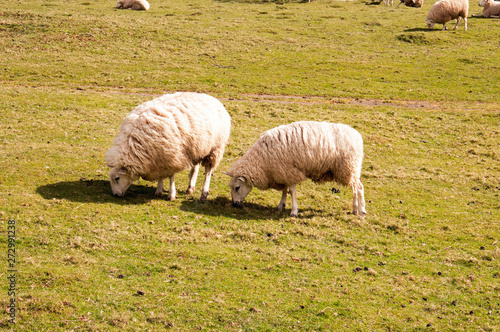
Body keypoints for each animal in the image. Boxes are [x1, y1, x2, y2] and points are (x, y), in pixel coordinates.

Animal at [225, 120, 366, 217]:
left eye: (237, 187)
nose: (234, 204)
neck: (262, 161)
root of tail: (357, 135)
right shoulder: (282, 171)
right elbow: (284, 189)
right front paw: (281, 205)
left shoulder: (290, 171)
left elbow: (291, 191)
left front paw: (293, 211)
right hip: (350, 170)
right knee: (355, 188)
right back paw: (355, 208)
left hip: (348, 167)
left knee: (359, 187)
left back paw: (361, 209)